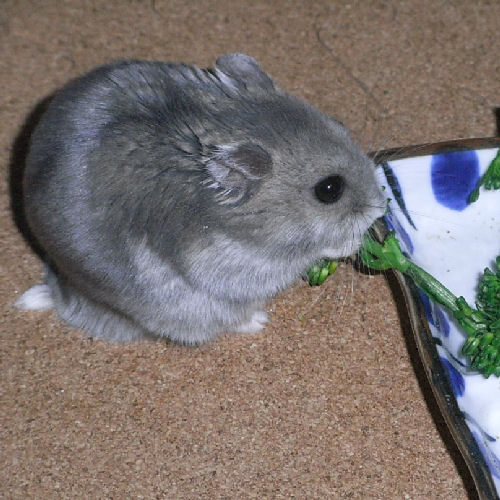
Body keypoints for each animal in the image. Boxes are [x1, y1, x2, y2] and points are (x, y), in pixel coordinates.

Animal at [16, 53, 386, 343]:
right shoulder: (246, 265)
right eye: (329, 189)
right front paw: (352, 243)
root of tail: (61, 292)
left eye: (341, 125)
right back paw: (258, 320)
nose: (381, 206)